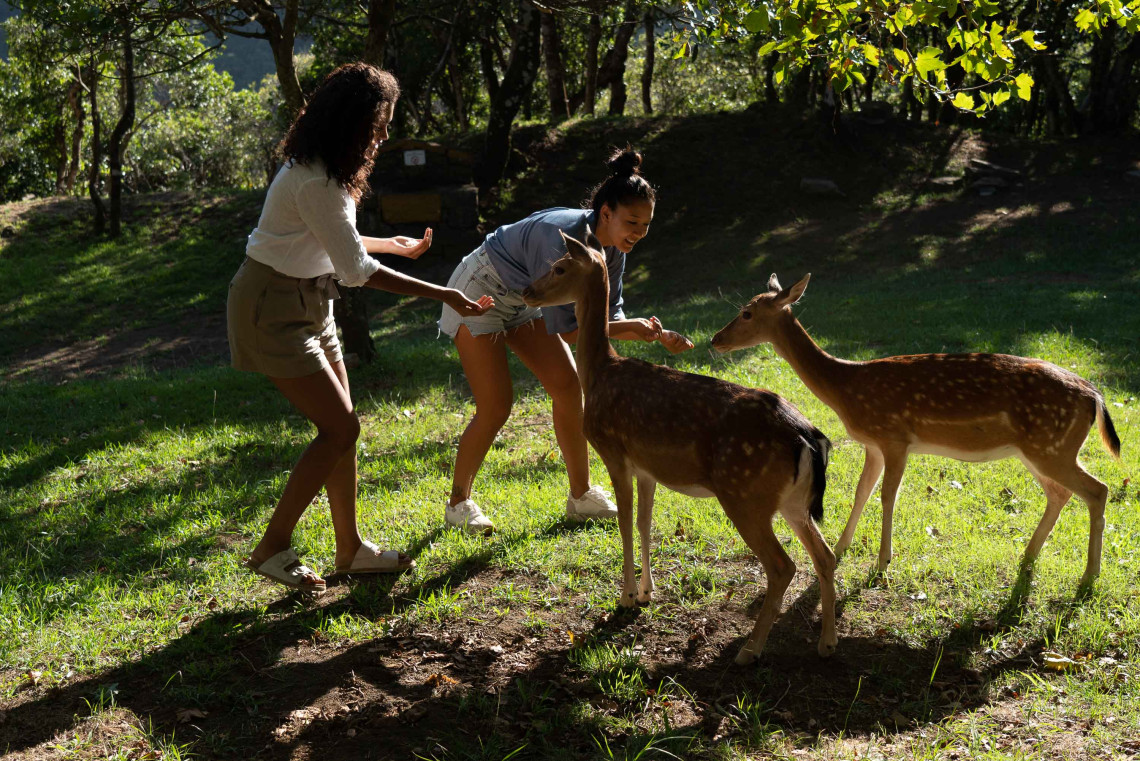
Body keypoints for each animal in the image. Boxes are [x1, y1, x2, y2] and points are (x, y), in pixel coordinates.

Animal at [521, 233, 837, 664]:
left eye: (559, 267)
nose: (527, 291)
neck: (600, 373)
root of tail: (807, 437)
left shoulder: (613, 450)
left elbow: (623, 522)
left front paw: (626, 596)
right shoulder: (647, 468)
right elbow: (645, 522)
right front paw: (647, 592)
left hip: (744, 494)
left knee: (782, 566)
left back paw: (749, 650)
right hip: (793, 501)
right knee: (825, 556)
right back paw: (827, 643)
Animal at [711, 273, 1122, 588]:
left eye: (746, 312)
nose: (715, 340)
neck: (845, 388)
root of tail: (1094, 395)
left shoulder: (895, 437)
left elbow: (887, 496)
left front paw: (882, 563)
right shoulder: (872, 444)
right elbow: (861, 492)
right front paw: (841, 548)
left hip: (1052, 445)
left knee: (1097, 490)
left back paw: (1089, 576)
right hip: (1041, 449)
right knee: (1060, 493)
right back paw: (1029, 556)